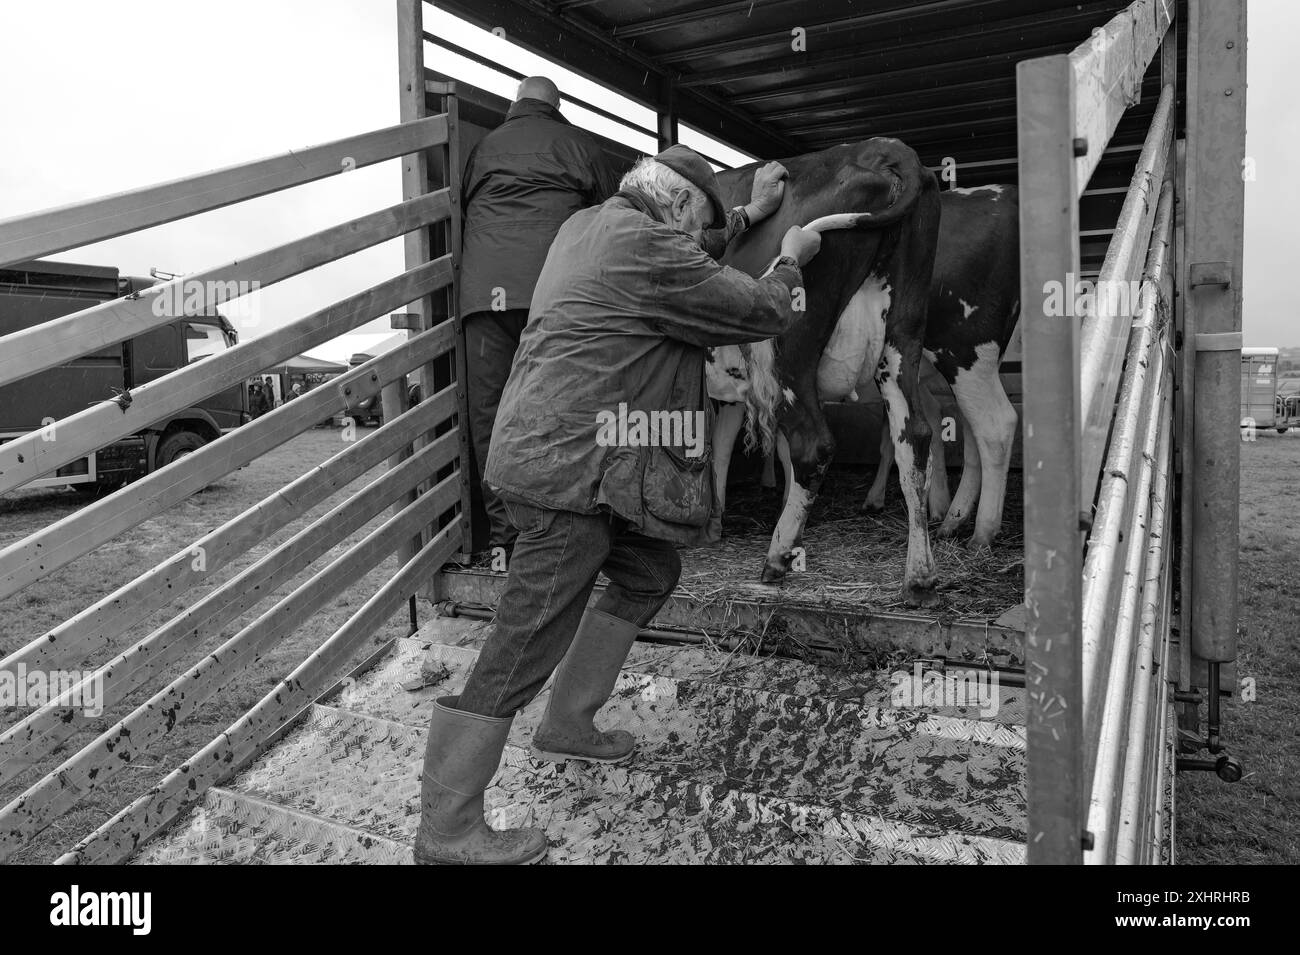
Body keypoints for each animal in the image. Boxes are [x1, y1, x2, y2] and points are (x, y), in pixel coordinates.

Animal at [707, 139, 941, 608]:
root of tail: (886, 147)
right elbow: (724, 447)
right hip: (902, 338)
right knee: (914, 440)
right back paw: (919, 577)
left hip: (789, 351)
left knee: (813, 446)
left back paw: (777, 558)